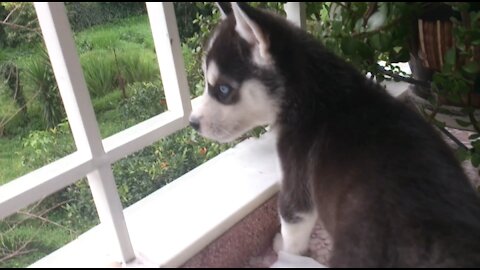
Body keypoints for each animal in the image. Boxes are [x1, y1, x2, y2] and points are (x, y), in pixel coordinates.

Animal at [188, 2, 480, 268]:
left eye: (223, 90)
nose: (192, 123)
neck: (312, 91)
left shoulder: (296, 182)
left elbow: (292, 228)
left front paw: (287, 251)